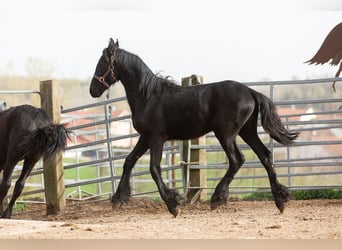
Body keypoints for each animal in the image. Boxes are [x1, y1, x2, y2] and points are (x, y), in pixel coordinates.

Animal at [89, 39, 300, 217]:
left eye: (102, 63)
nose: (93, 90)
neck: (148, 97)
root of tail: (251, 92)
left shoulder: (156, 137)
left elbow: (154, 168)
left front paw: (173, 204)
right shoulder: (144, 138)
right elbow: (129, 161)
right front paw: (118, 198)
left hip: (226, 134)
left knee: (237, 160)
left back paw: (217, 198)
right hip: (246, 131)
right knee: (265, 156)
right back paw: (280, 200)